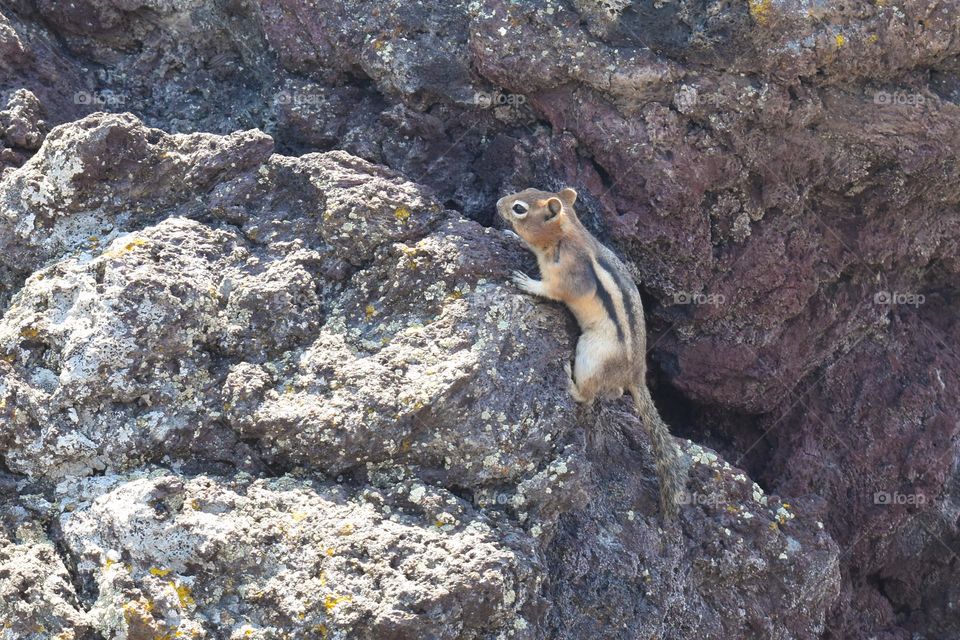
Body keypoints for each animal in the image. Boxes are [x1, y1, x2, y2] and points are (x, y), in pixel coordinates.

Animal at [497, 187, 686, 518]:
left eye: (519, 208)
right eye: (525, 191)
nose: (498, 204)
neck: (567, 234)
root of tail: (637, 375)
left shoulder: (567, 277)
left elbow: (552, 290)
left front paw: (526, 280)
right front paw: (510, 236)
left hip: (591, 355)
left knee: (588, 394)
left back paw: (568, 380)